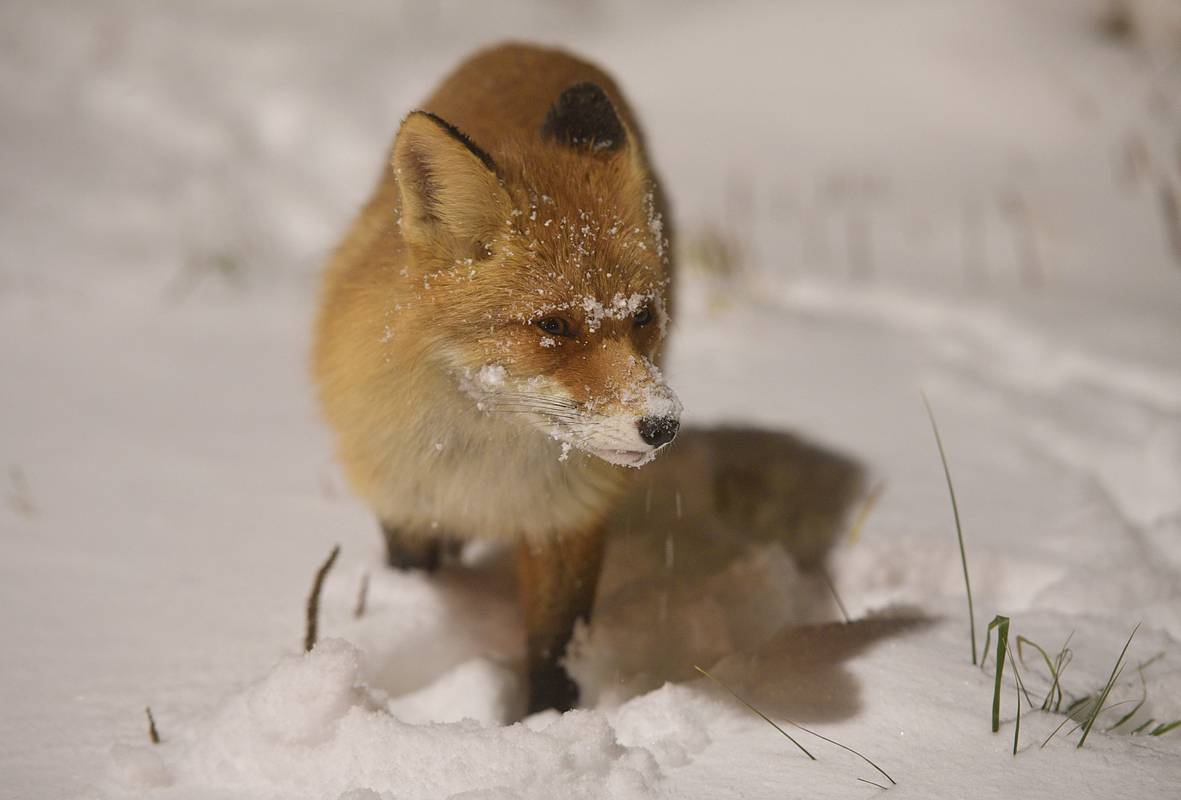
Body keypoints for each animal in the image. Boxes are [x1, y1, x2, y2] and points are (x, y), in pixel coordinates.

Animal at [311, 42, 684, 713]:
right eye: (555, 325)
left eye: (643, 315)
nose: (662, 426)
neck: (486, 466)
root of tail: (536, 46)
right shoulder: (404, 504)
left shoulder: (566, 519)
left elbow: (553, 651)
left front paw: (548, 722)